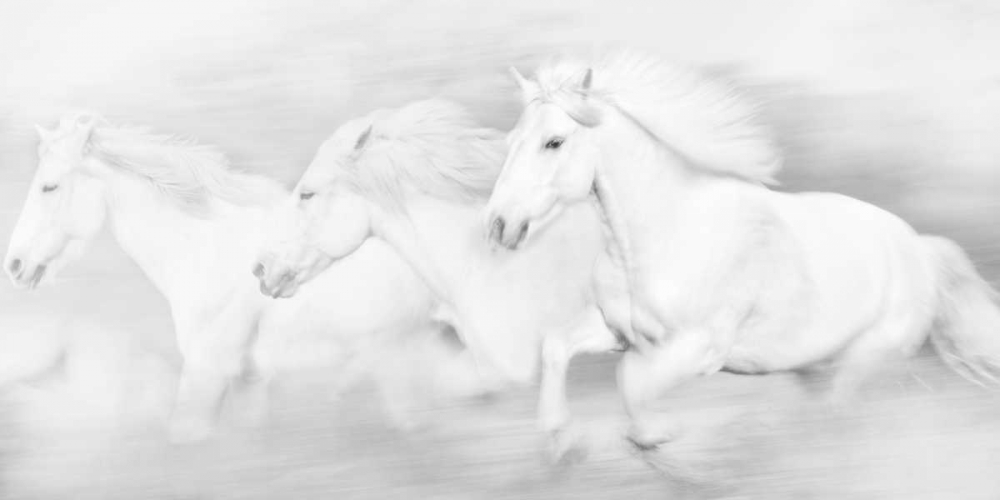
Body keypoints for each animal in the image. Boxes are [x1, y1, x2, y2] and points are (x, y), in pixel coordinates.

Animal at [484, 49, 1000, 449]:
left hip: (864, 362)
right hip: (815, 368)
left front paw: (654, 437)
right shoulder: (618, 331)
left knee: (850, 418)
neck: (667, 233)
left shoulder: (698, 348)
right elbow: (556, 347)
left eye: (554, 142)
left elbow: (630, 381)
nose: (498, 226)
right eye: (511, 140)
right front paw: (559, 437)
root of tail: (920, 248)